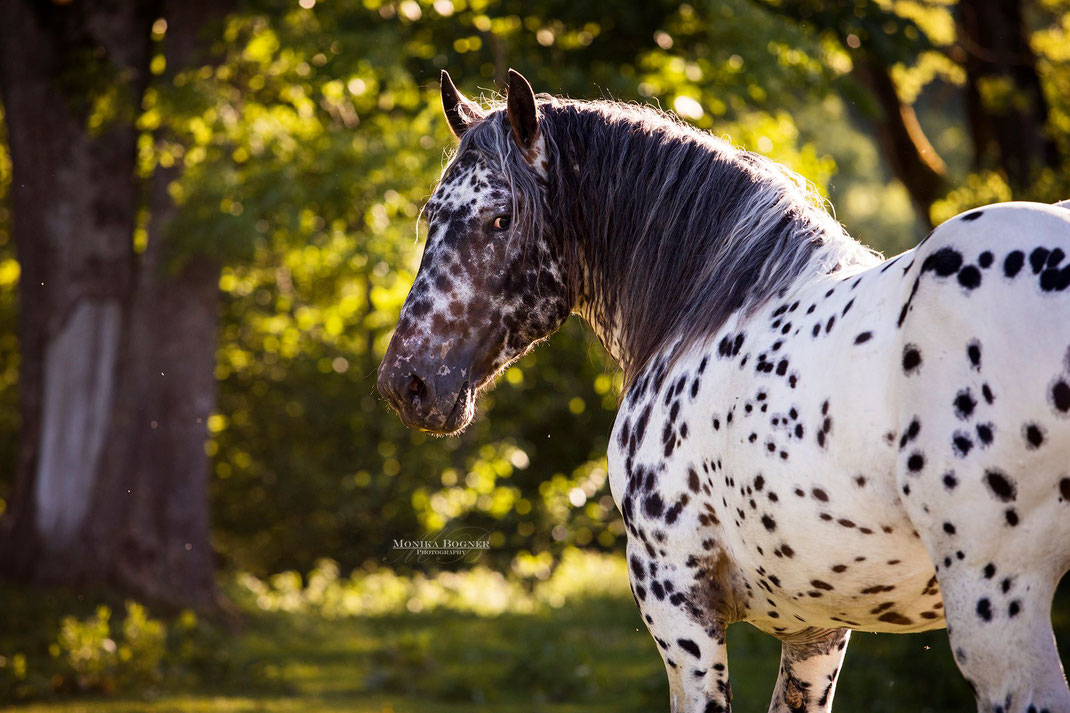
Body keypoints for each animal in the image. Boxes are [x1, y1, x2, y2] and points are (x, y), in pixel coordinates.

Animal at [376, 67, 1070, 710]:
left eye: (499, 219)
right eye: (432, 215)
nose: (405, 383)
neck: (711, 308)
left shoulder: (676, 597)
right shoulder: (819, 630)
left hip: (993, 598)